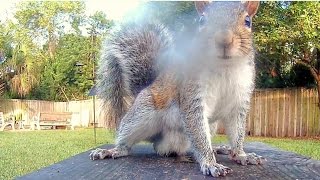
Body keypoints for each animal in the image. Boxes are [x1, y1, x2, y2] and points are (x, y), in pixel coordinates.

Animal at [90, 1, 264, 177]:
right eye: (202, 20)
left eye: (247, 21)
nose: (224, 39)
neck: (224, 67)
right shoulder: (192, 93)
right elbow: (199, 133)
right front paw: (210, 164)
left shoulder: (240, 100)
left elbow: (237, 132)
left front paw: (242, 155)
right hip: (141, 114)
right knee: (128, 139)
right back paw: (112, 151)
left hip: (211, 125)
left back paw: (218, 148)